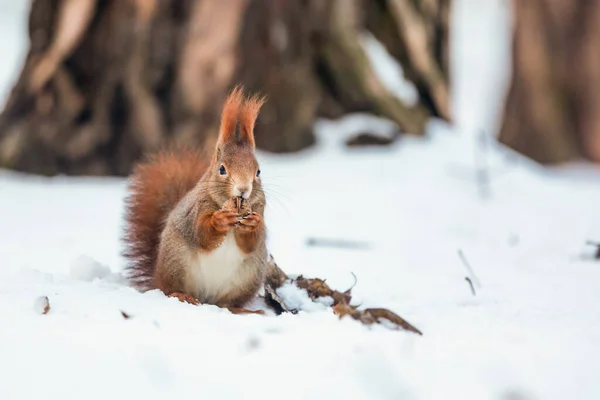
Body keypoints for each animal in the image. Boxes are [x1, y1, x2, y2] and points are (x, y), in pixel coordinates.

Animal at [122, 86, 268, 312]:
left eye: (258, 171)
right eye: (222, 169)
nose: (243, 190)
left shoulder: (260, 207)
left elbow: (251, 243)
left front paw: (252, 223)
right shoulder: (196, 208)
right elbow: (202, 234)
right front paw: (219, 221)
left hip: (250, 273)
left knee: (227, 303)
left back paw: (240, 310)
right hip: (176, 259)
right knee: (170, 289)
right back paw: (182, 296)